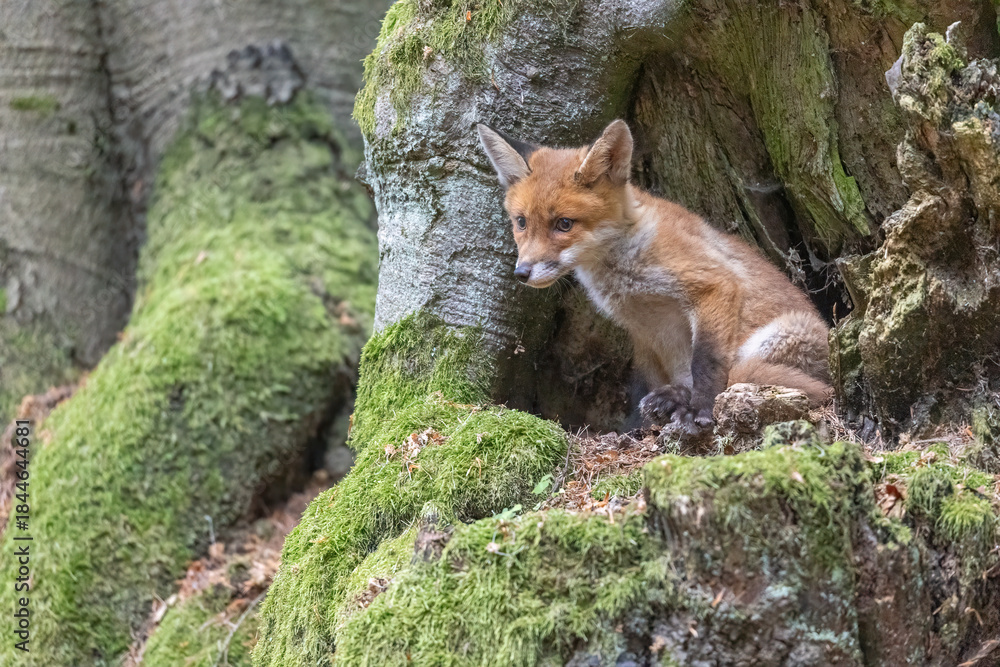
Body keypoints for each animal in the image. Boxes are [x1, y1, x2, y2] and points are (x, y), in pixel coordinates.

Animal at [476, 119, 832, 430]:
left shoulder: (714, 284)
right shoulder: (644, 332)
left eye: (564, 224)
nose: (522, 272)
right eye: (521, 222)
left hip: (777, 336)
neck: (627, 278)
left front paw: (700, 410)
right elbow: (642, 383)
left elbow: (706, 364)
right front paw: (635, 428)